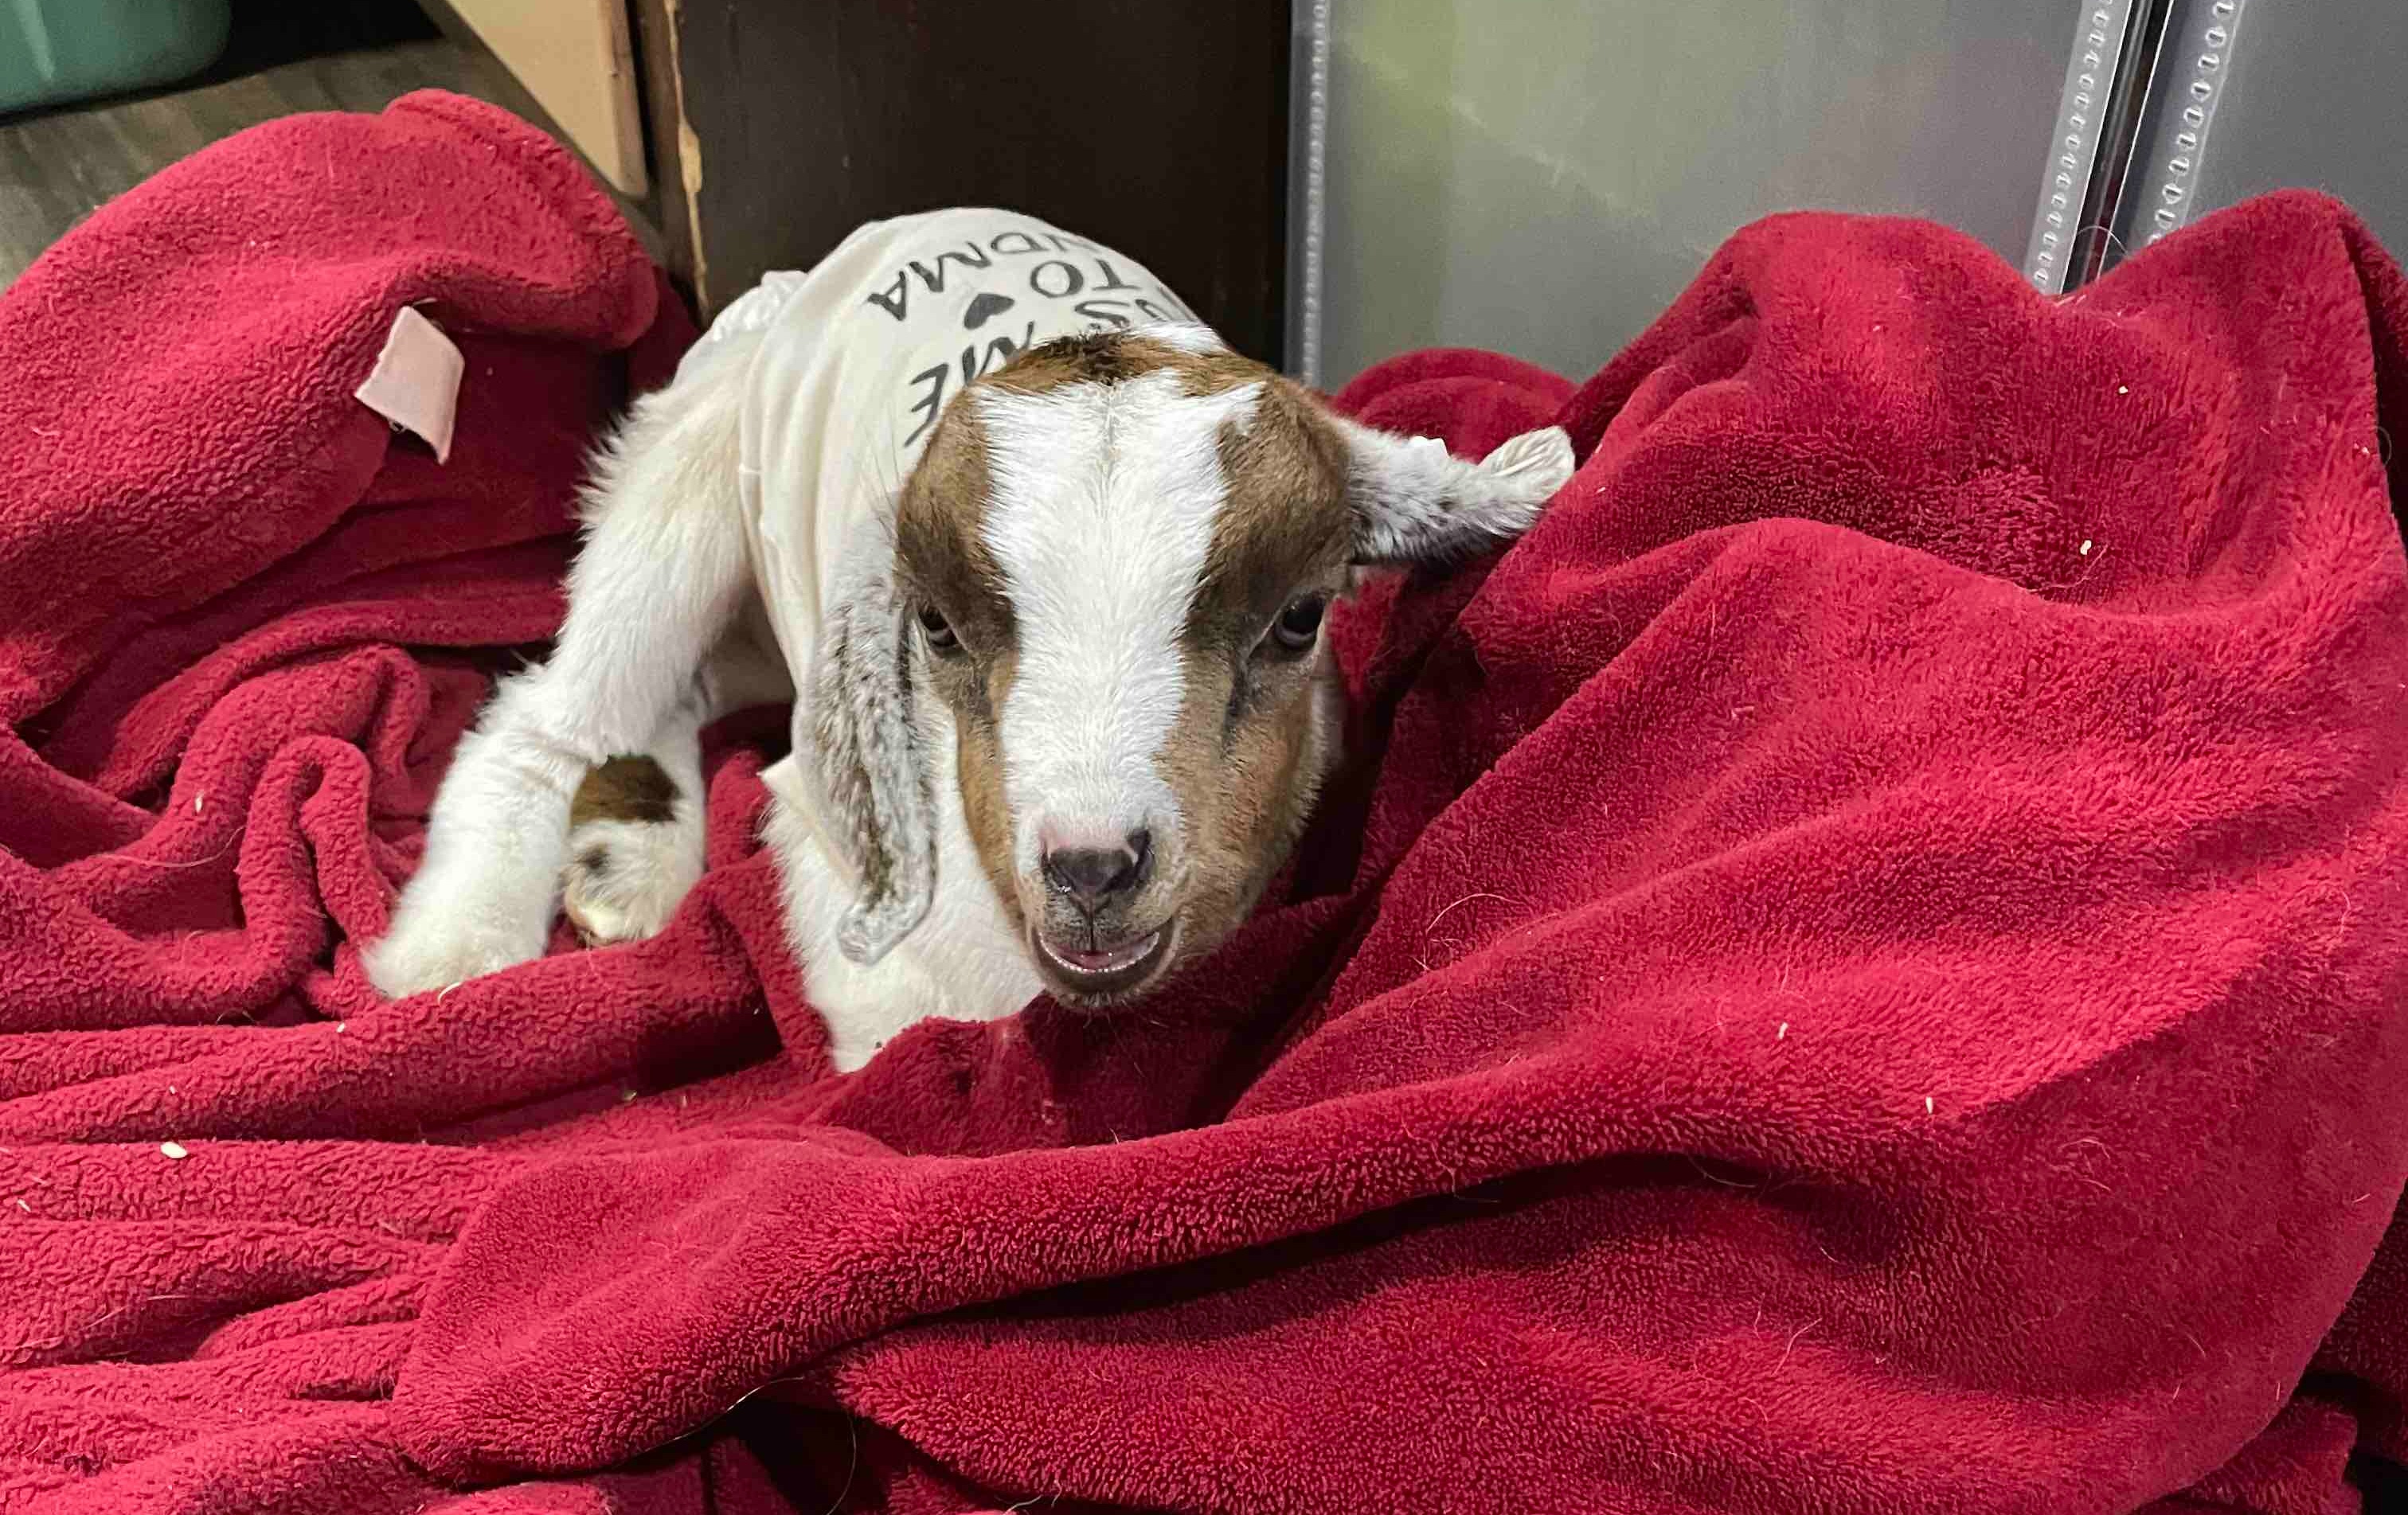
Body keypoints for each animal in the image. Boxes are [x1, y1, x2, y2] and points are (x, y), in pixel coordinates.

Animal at [363, 208, 1574, 1071]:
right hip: (691, 475)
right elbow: (914, 1024)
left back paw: (627, 862)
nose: (1093, 867)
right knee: (555, 710)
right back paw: (457, 952)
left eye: (1300, 617)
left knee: (685, 687)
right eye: (936, 626)